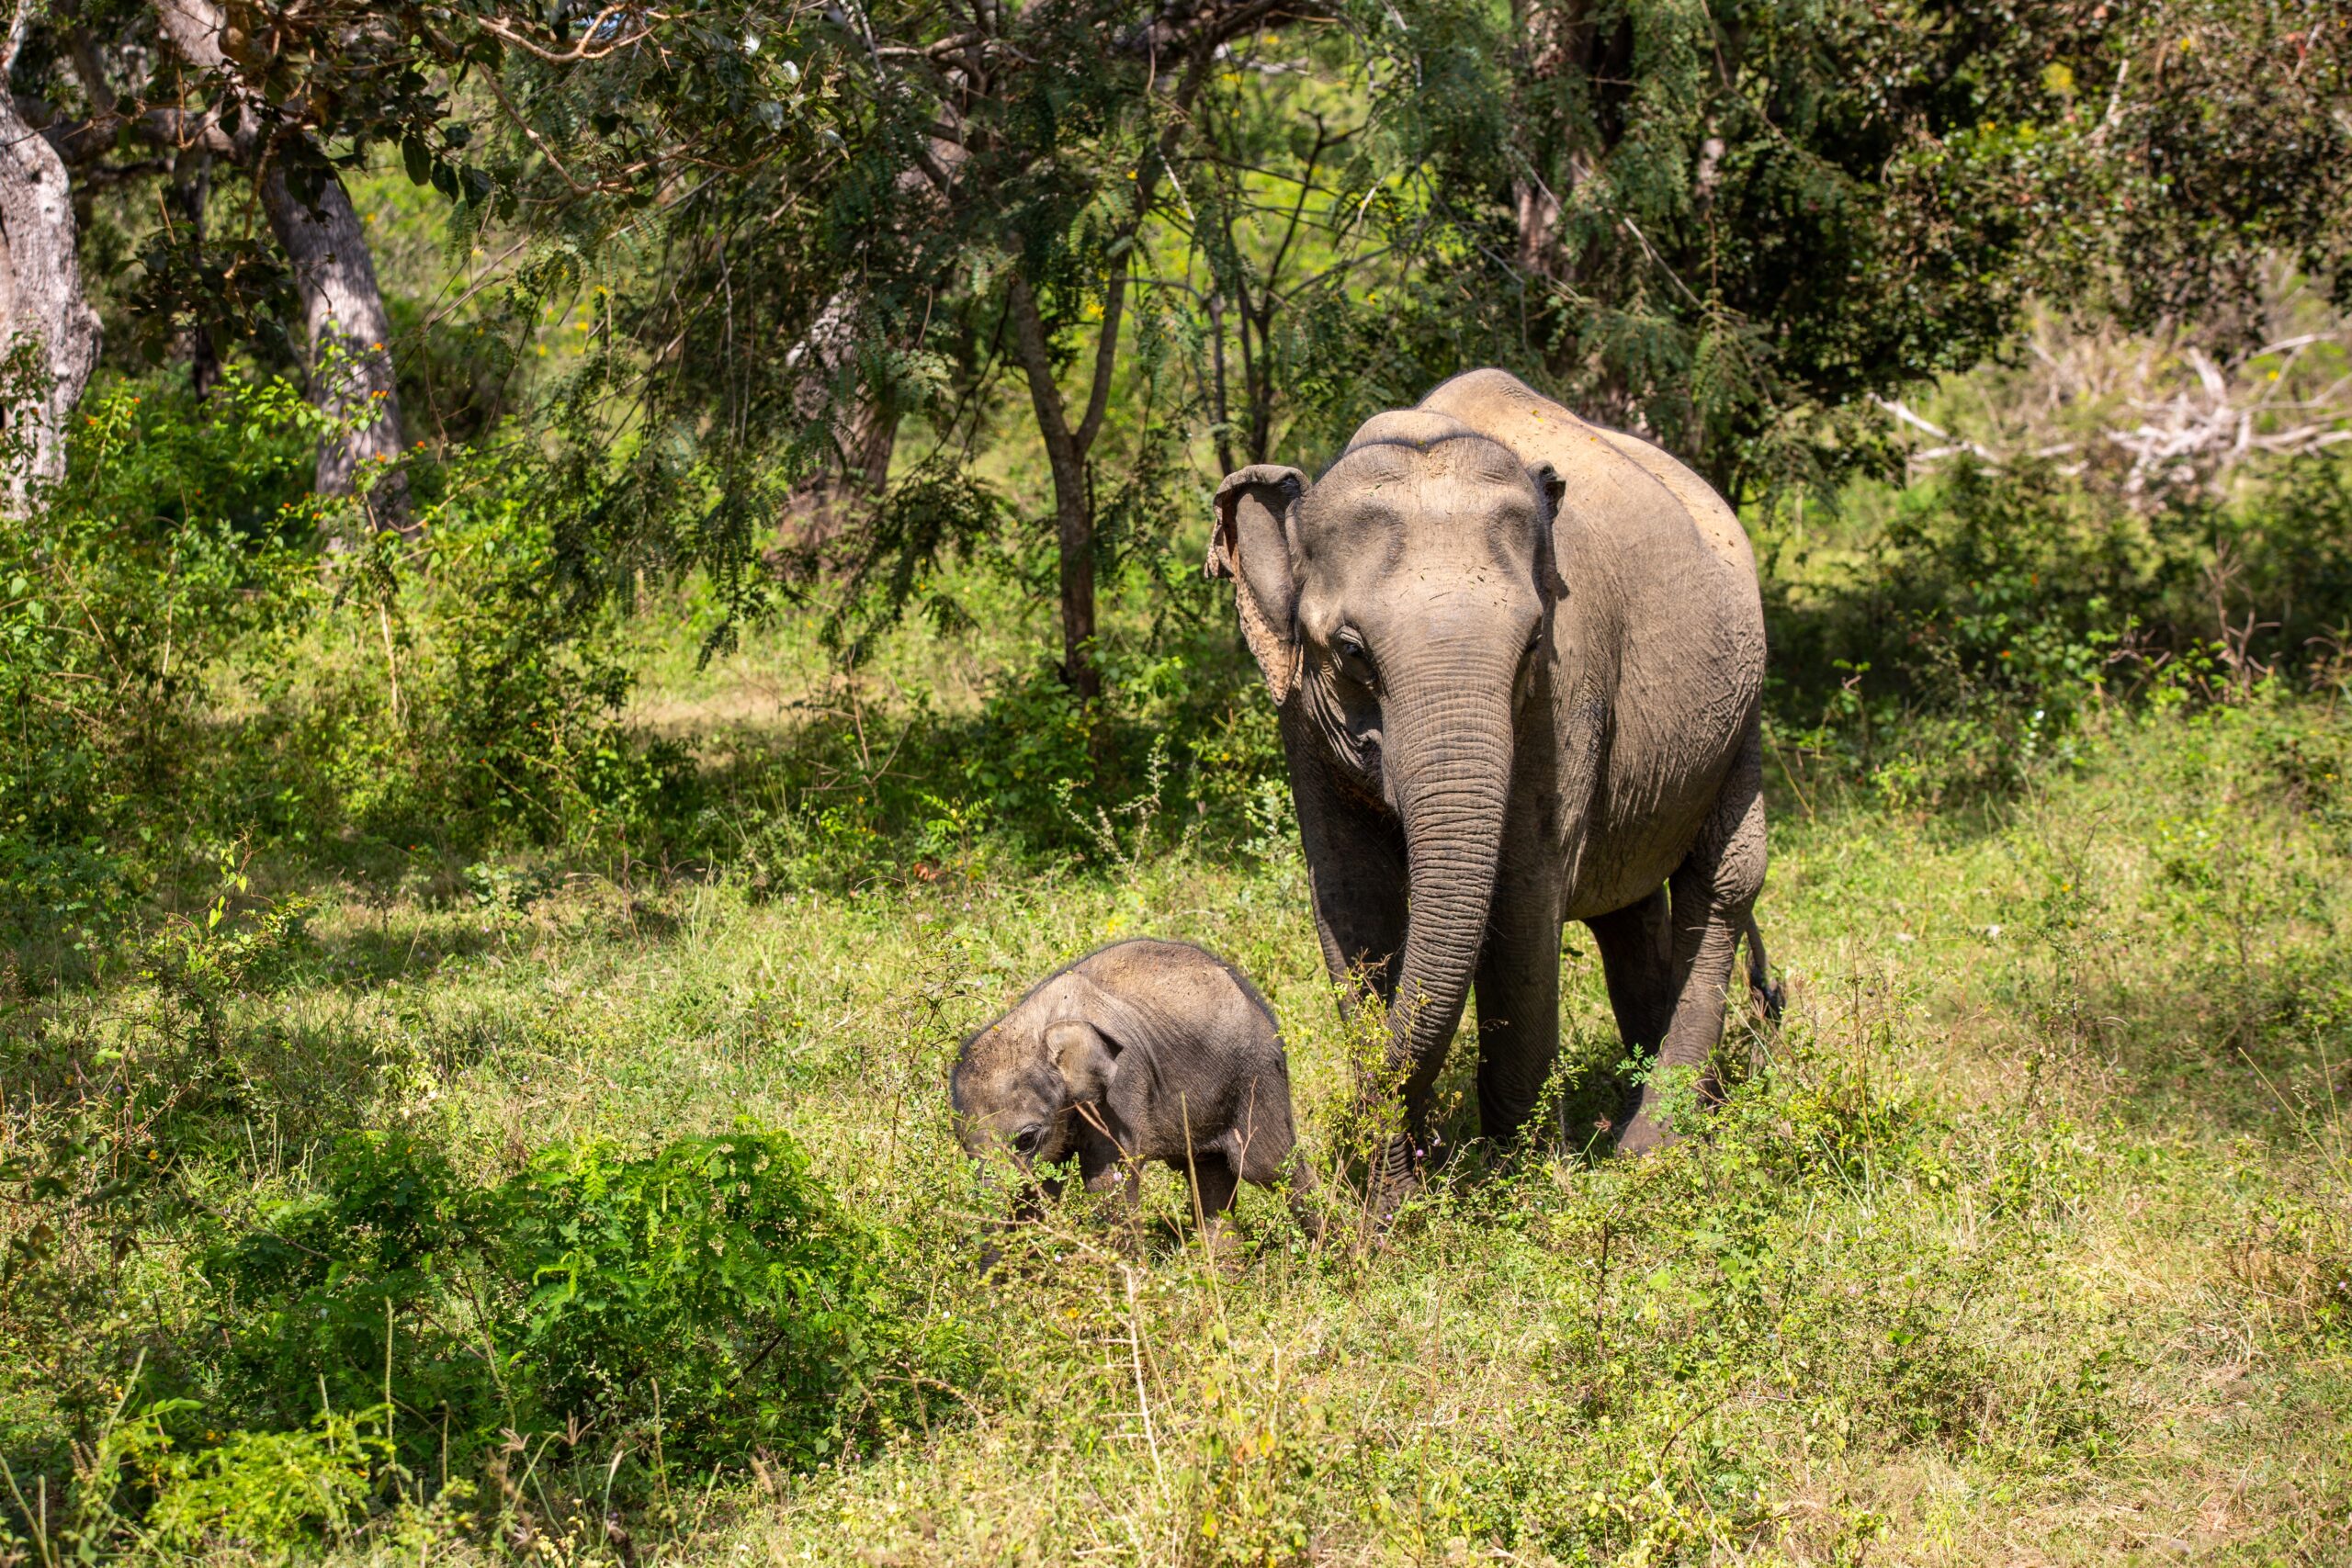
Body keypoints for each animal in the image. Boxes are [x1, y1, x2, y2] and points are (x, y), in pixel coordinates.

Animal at [955, 940, 1326, 1241]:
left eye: (1026, 1138)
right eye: (964, 1149)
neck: (1042, 1026)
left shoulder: (1123, 1085)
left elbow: (1107, 1182)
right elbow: (1040, 1190)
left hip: (1257, 1074)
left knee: (1269, 1167)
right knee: (1209, 1172)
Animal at [1204, 368, 1769, 1175]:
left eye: (1532, 643)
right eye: (1352, 652)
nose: (1337, 1146)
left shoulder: (1562, 695)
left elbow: (1525, 895)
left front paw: (1522, 1182)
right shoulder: (1299, 712)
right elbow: (1352, 899)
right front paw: (1395, 1192)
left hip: (1743, 703)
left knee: (1722, 881)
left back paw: (1652, 1146)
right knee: (1627, 909)